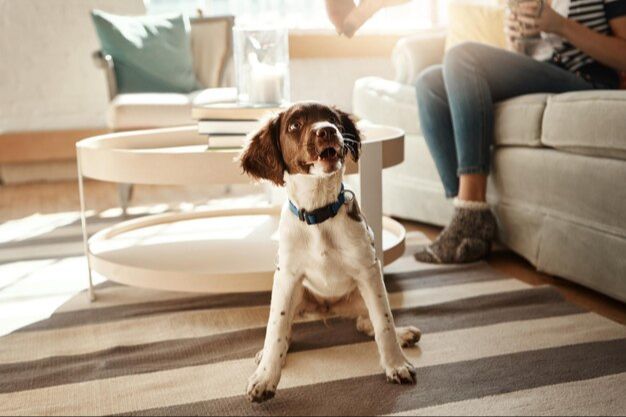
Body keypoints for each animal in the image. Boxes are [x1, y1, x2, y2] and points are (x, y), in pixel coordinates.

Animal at [239, 100, 420, 400]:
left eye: (332, 119)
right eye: (294, 125)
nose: (327, 130)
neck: (318, 215)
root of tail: (329, 308)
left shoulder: (369, 270)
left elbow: (384, 322)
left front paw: (396, 365)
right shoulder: (286, 277)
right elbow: (276, 329)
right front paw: (265, 378)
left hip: (364, 291)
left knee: (366, 320)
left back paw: (403, 333)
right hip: (297, 294)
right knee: (287, 329)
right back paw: (265, 354)